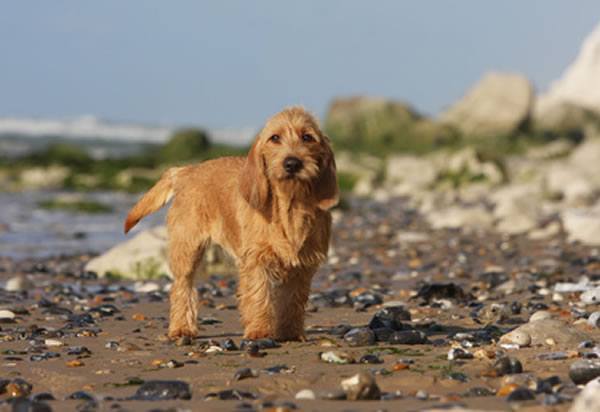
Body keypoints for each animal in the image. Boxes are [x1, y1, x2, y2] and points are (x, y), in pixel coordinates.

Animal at [123, 107, 338, 342]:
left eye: (307, 137)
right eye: (275, 138)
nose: (292, 163)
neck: (290, 206)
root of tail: (187, 171)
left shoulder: (302, 266)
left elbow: (294, 300)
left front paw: (290, 332)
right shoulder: (255, 261)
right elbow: (258, 295)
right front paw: (260, 331)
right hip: (187, 250)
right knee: (182, 287)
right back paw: (182, 328)